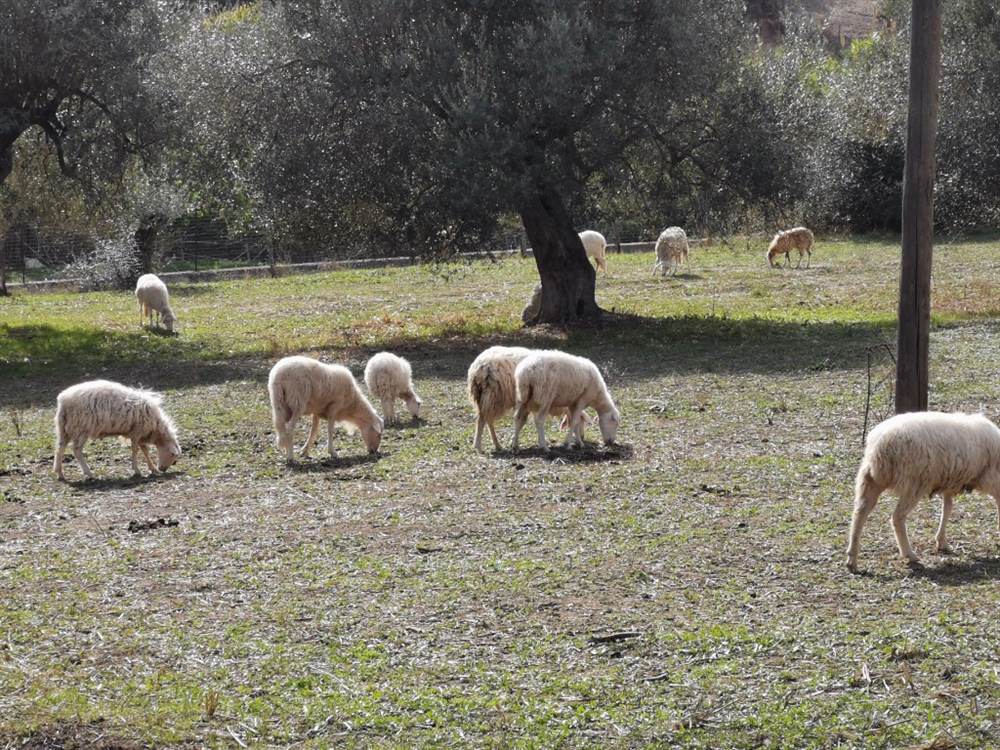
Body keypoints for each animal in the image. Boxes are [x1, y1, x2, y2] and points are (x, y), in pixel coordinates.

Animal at [52, 382, 183, 482]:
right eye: (173, 455)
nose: (163, 469)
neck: (156, 427)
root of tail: (63, 401)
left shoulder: (140, 434)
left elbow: (145, 450)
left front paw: (153, 469)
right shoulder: (137, 432)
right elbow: (136, 450)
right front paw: (137, 470)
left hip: (64, 429)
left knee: (60, 448)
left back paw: (60, 473)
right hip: (81, 428)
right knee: (76, 450)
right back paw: (88, 473)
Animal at [848, 414, 1000, 572]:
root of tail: (880, 443)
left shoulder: (949, 482)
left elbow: (947, 507)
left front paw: (941, 541)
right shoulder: (992, 478)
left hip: (870, 480)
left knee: (859, 513)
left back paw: (852, 559)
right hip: (914, 483)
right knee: (897, 517)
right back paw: (909, 554)